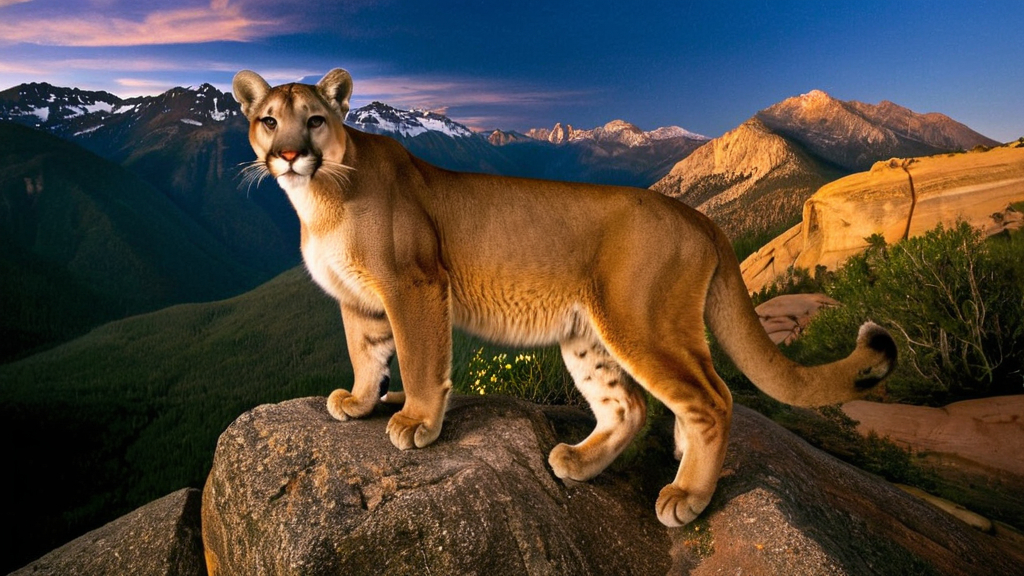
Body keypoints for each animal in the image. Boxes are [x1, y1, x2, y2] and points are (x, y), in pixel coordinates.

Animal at [231, 68, 896, 527]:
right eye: (269, 120)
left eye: (315, 120)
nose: (288, 154)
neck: (320, 199)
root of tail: (697, 215)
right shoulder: (359, 300)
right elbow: (366, 353)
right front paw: (360, 401)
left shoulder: (414, 284)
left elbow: (419, 360)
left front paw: (416, 423)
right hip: (588, 334)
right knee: (629, 406)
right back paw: (578, 462)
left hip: (641, 322)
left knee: (712, 398)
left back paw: (687, 496)